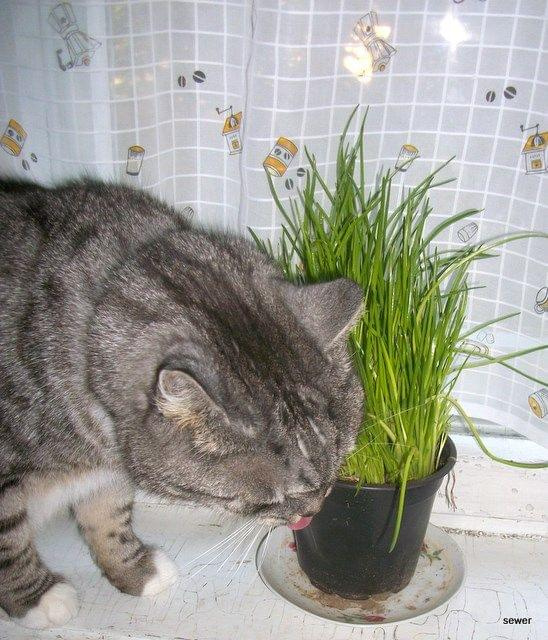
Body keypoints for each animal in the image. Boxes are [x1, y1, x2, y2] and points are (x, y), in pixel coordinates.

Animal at [0, 178, 364, 629]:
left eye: (336, 474)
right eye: (272, 499)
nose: (312, 513)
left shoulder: (109, 470)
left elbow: (107, 513)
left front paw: (136, 571)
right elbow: (10, 541)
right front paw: (37, 598)